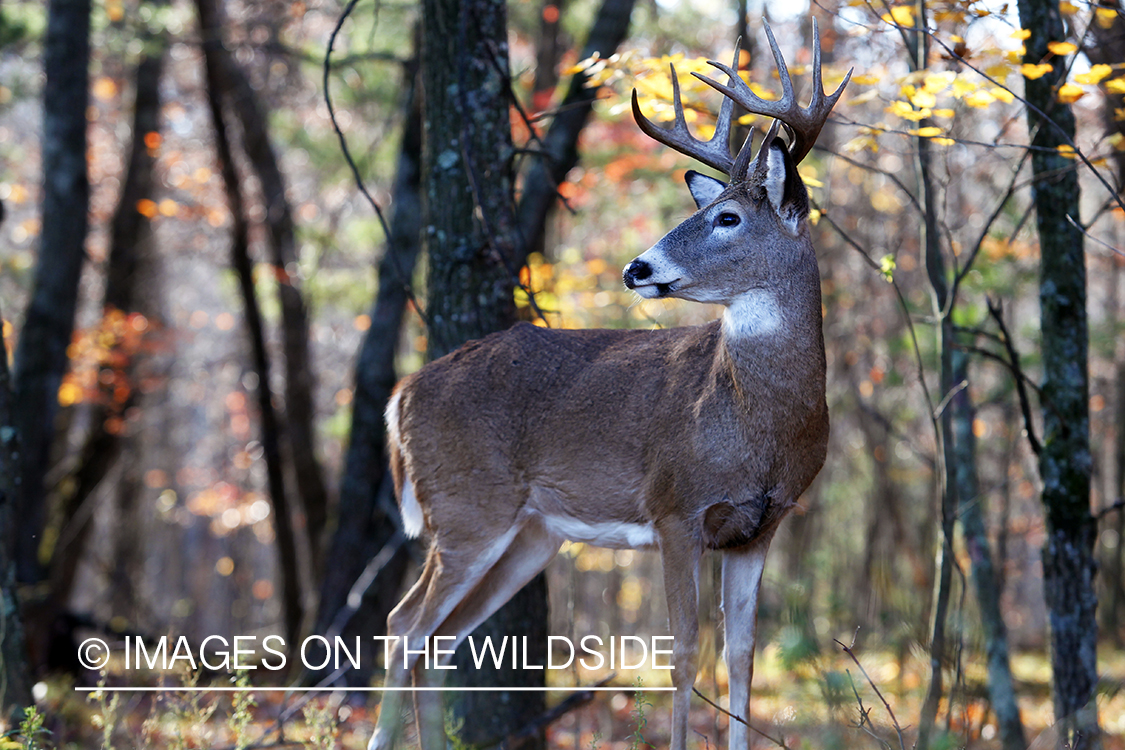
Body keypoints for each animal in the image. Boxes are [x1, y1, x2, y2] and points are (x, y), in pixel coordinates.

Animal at [364, 20, 846, 750]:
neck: (759, 424)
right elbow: (683, 655)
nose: (636, 267)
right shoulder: (675, 506)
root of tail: (403, 393)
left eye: (727, 219)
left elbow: (741, 656)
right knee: (403, 625)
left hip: (530, 533)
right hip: (467, 507)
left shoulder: (761, 527)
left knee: (441, 636)